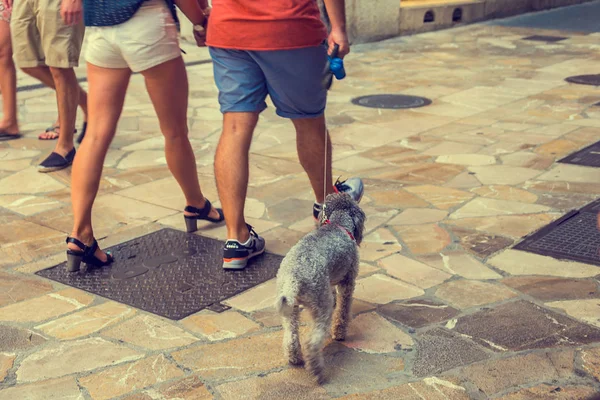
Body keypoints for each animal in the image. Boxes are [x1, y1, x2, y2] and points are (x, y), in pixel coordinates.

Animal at [274, 194, 366, 384]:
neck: (337, 224)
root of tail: (294, 277)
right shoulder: (348, 283)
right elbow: (343, 311)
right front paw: (340, 333)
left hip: (290, 309)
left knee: (291, 337)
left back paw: (294, 359)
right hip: (321, 307)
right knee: (312, 342)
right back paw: (317, 371)